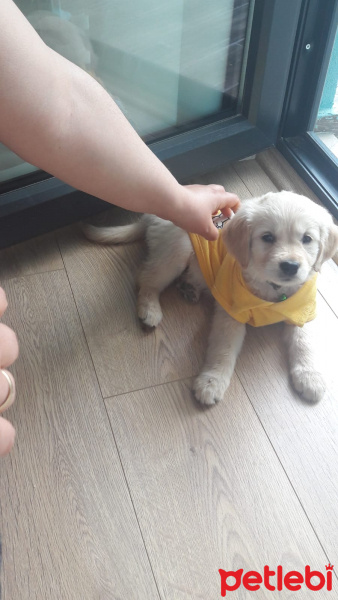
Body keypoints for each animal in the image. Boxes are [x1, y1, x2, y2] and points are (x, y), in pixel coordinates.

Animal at [84, 192, 338, 406]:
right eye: (267, 237)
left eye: (307, 239)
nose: (290, 266)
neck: (273, 288)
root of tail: (153, 214)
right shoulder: (230, 313)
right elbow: (222, 351)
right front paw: (211, 382)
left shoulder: (303, 310)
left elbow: (305, 342)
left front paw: (311, 376)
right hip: (177, 249)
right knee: (145, 278)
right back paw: (150, 310)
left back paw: (189, 288)